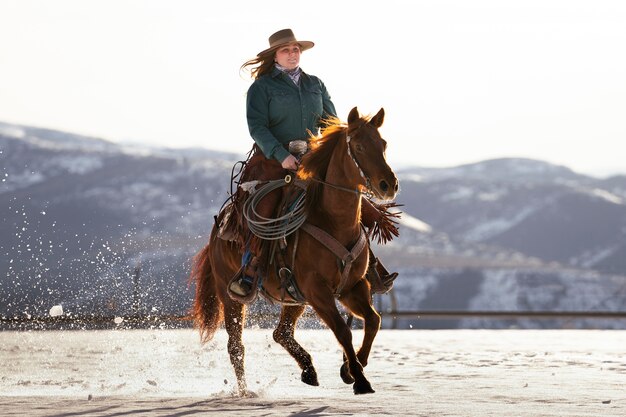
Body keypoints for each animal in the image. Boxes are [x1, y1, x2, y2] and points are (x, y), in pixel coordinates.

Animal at [188, 105, 398, 394]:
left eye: (383, 143)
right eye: (358, 146)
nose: (388, 184)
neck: (333, 221)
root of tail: (218, 230)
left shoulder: (352, 287)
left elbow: (373, 320)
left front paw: (350, 368)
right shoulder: (317, 290)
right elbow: (343, 330)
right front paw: (359, 378)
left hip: (294, 297)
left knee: (282, 332)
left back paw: (308, 370)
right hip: (229, 293)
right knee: (236, 346)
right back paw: (245, 391)